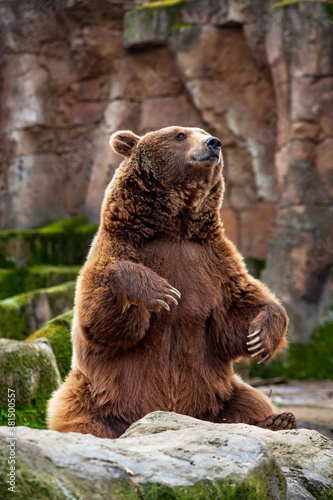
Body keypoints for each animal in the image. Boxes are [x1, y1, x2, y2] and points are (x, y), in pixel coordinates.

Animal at [47, 126, 296, 438]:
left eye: (203, 132)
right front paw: (161, 292)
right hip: (97, 392)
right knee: (81, 418)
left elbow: (237, 311)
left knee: (248, 400)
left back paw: (277, 421)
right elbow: (101, 321)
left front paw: (260, 336)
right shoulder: (122, 246)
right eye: (179, 135)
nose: (214, 143)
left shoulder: (212, 262)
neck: (175, 228)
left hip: (217, 394)